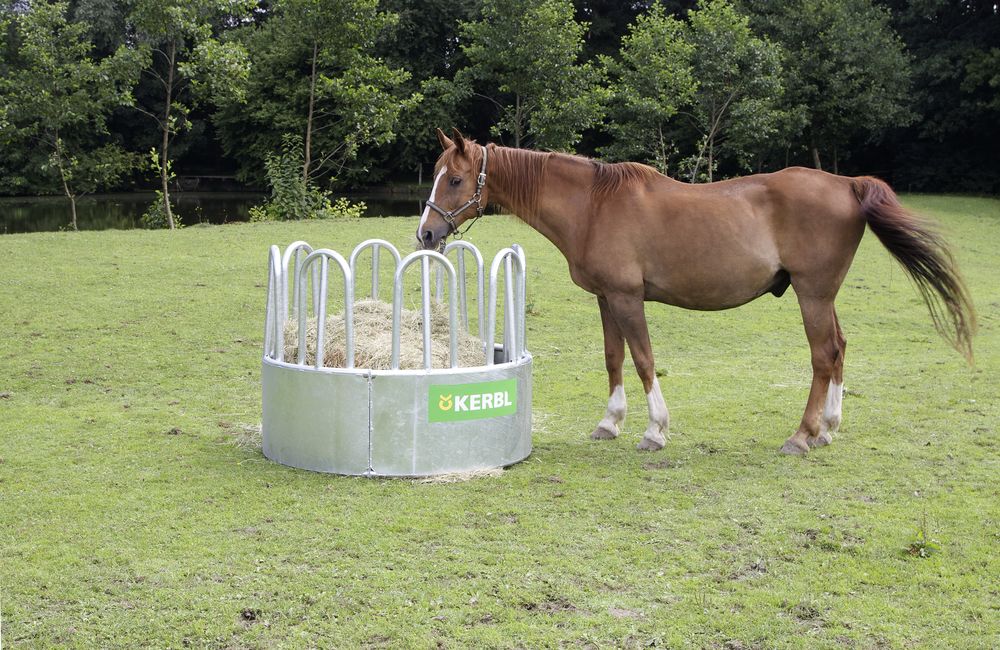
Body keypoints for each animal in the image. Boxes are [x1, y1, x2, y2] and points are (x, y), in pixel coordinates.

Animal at [418, 126, 972, 450]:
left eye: (455, 180)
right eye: (437, 175)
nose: (425, 233)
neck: (593, 205)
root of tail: (847, 184)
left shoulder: (627, 298)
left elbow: (644, 359)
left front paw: (654, 430)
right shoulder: (606, 299)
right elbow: (614, 359)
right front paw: (610, 423)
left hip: (812, 295)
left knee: (822, 355)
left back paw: (802, 435)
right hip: (823, 296)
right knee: (838, 349)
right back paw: (828, 428)